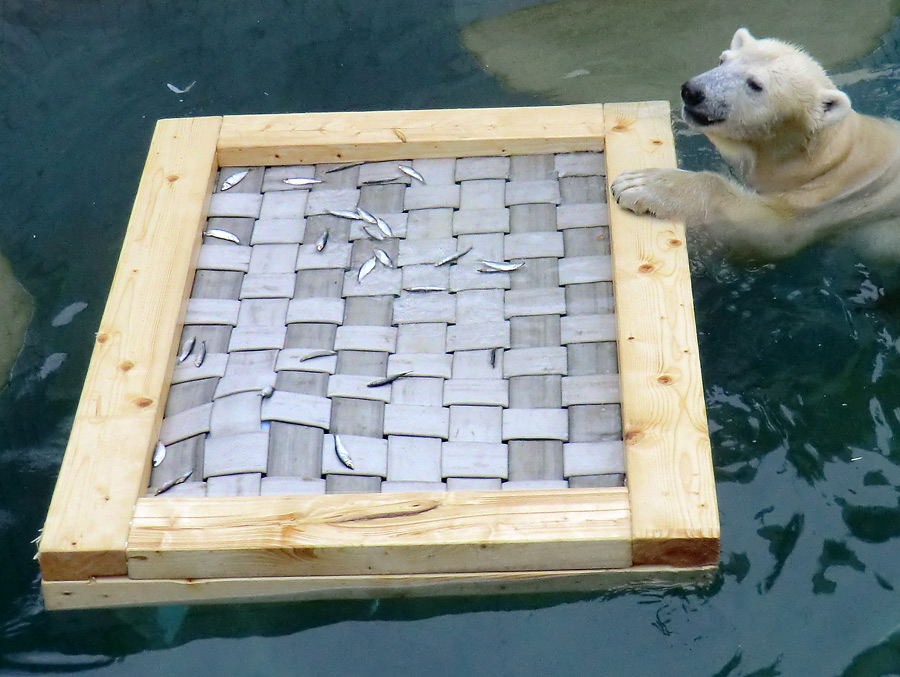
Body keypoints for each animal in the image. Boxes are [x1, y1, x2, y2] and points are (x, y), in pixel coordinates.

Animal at [608, 27, 900, 258]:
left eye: (755, 84)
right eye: (722, 60)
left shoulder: (826, 202)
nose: (692, 91)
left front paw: (643, 184)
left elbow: (766, 232)